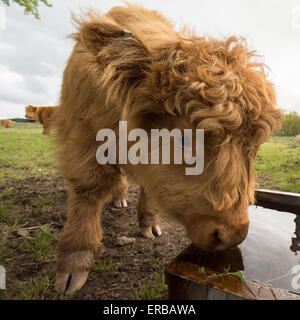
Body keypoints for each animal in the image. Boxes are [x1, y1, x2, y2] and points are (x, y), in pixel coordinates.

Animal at [53, 3, 284, 296]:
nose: (234, 233)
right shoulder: (84, 137)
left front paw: (149, 224)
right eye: (183, 138)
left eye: (253, 149)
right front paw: (74, 264)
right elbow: (88, 193)